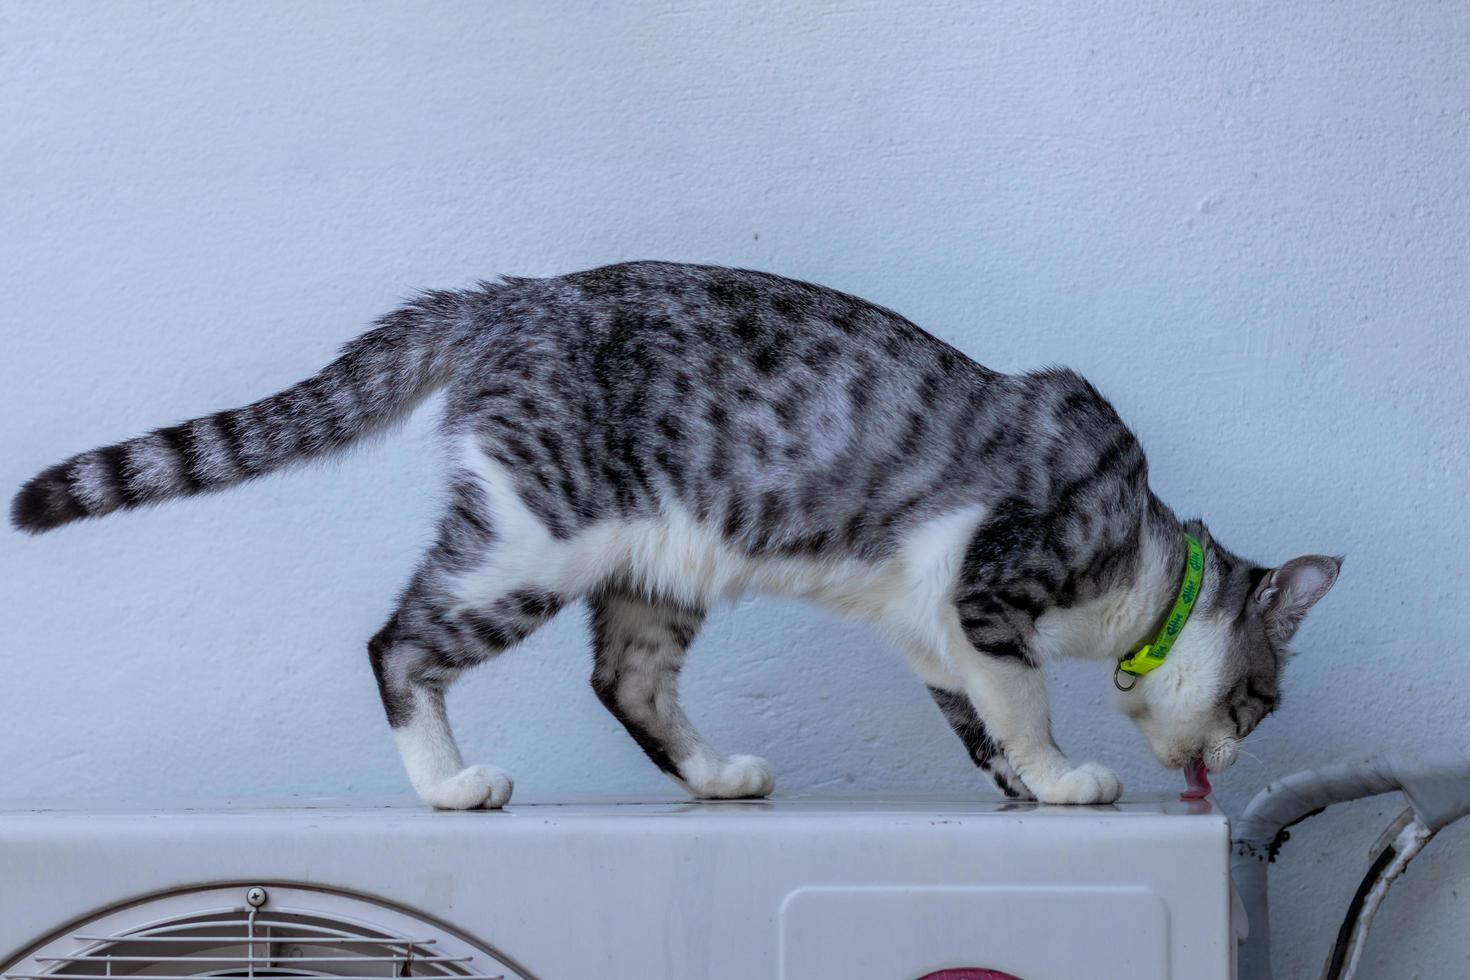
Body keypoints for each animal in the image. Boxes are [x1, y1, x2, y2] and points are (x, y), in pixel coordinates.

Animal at [14, 258, 1346, 805]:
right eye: (1261, 699)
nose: (1234, 755)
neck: (1146, 559)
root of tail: (505, 298)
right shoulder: (991, 575)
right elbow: (1023, 701)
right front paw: (1067, 776)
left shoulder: (936, 622)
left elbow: (976, 711)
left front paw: (1020, 785)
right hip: (528, 539)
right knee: (399, 644)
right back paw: (450, 785)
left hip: (655, 570)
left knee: (628, 682)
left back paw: (715, 775)